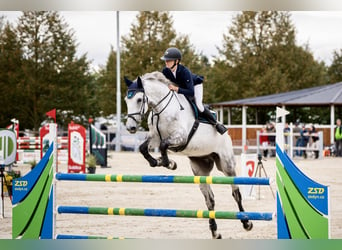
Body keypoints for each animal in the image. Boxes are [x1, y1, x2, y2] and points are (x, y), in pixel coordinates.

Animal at [124, 71, 252, 238]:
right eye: (126, 100)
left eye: (139, 99)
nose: (131, 128)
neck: (162, 110)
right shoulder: (155, 137)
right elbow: (143, 148)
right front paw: (159, 161)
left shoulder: (180, 137)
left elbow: (164, 145)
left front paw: (168, 163)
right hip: (200, 169)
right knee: (210, 200)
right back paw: (215, 231)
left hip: (226, 164)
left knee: (236, 193)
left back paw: (246, 223)